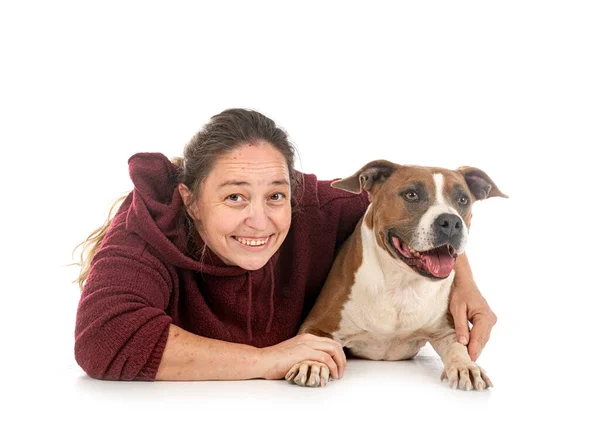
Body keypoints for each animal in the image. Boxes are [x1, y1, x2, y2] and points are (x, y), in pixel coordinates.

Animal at [286, 162, 506, 392]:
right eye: (411, 194)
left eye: (463, 199)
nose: (451, 221)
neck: (401, 284)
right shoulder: (317, 325)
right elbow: (312, 345)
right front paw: (312, 363)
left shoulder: (447, 330)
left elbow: (458, 347)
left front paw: (467, 366)